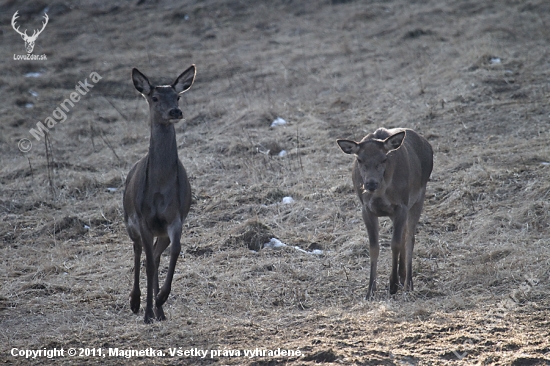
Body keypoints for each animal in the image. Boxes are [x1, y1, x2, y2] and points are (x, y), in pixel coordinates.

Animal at [124, 66, 197, 324]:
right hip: (129, 221)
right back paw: (136, 303)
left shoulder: (175, 218)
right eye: (155, 98)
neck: (160, 188)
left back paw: (160, 310)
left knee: (155, 255)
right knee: (138, 252)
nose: (175, 111)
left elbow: (175, 250)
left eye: (178, 97)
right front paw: (146, 312)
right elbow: (147, 263)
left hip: (160, 232)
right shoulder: (143, 219)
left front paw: (162, 298)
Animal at [336, 127, 436, 298]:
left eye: (383, 159)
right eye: (360, 159)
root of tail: (426, 143)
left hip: (418, 197)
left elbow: (395, 244)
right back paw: (402, 276)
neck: (382, 193)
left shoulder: (401, 206)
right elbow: (373, 247)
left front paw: (393, 285)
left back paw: (408, 283)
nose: (370, 183)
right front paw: (370, 290)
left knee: (409, 237)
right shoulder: (366, 209)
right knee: (404, 234)